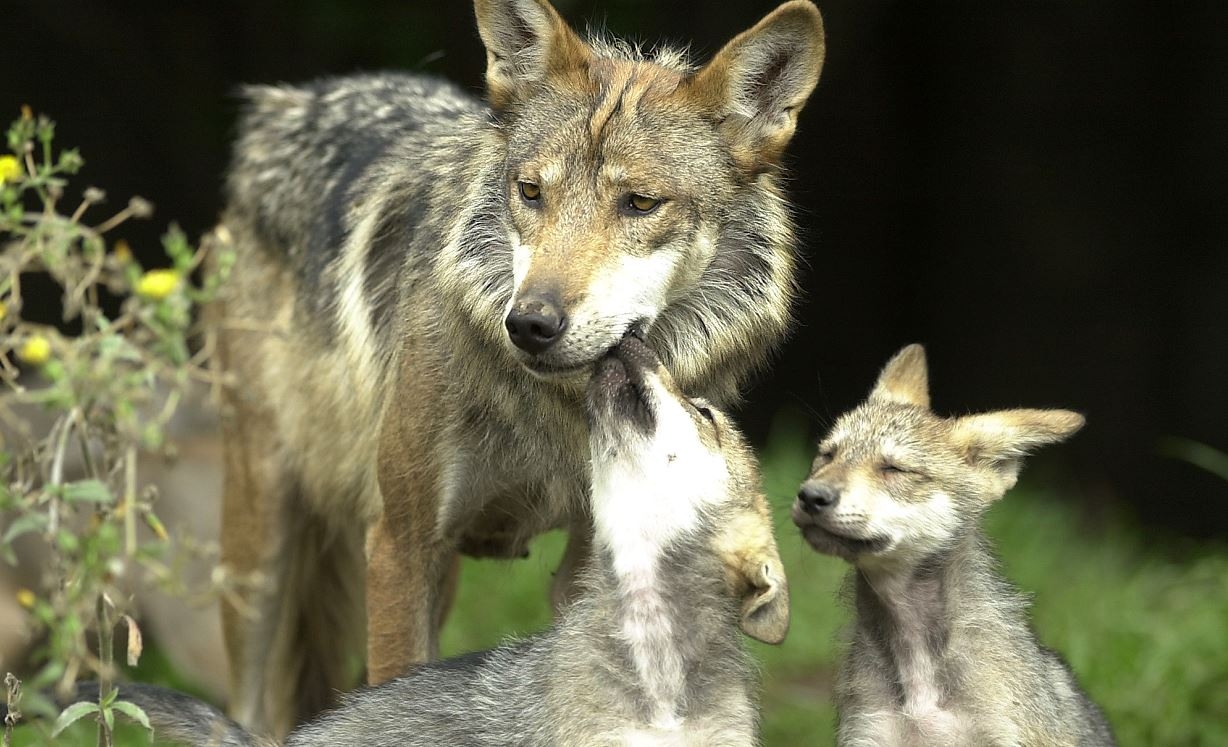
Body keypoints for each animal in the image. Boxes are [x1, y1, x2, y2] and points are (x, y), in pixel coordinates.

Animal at [213, 0, 825, 737]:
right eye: (531, 192)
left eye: (640, 203)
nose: (530, 324)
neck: (554, 411)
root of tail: (289, 101)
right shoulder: (400, 544)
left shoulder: (595, 558)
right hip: (261, 556)